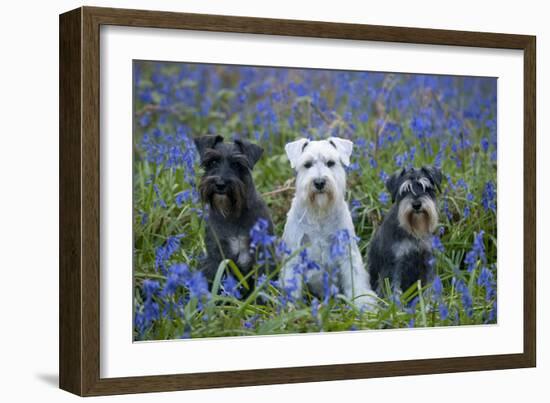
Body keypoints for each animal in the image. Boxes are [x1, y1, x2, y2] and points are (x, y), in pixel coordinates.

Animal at [195, 136, 274, 290]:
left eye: (237, 164)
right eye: (212, 162)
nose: (220, 184)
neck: (232, 214)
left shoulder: (261, 255)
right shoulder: (216, 257)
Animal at [280, 137, 380, 310]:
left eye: (331, 163)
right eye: (307, 164)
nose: (319, 182)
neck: (320, 212)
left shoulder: (347, 252)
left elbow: (355, 280)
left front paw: (363, 305)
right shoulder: (294, 255)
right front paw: (291, 309)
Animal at [368, 165, 446, 296]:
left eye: (426, 188)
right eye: (405, 191)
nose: (416, 204)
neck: (414, 231)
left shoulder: (428, 259)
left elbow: (429, 286)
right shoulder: (395, 264)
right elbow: (395, 288)